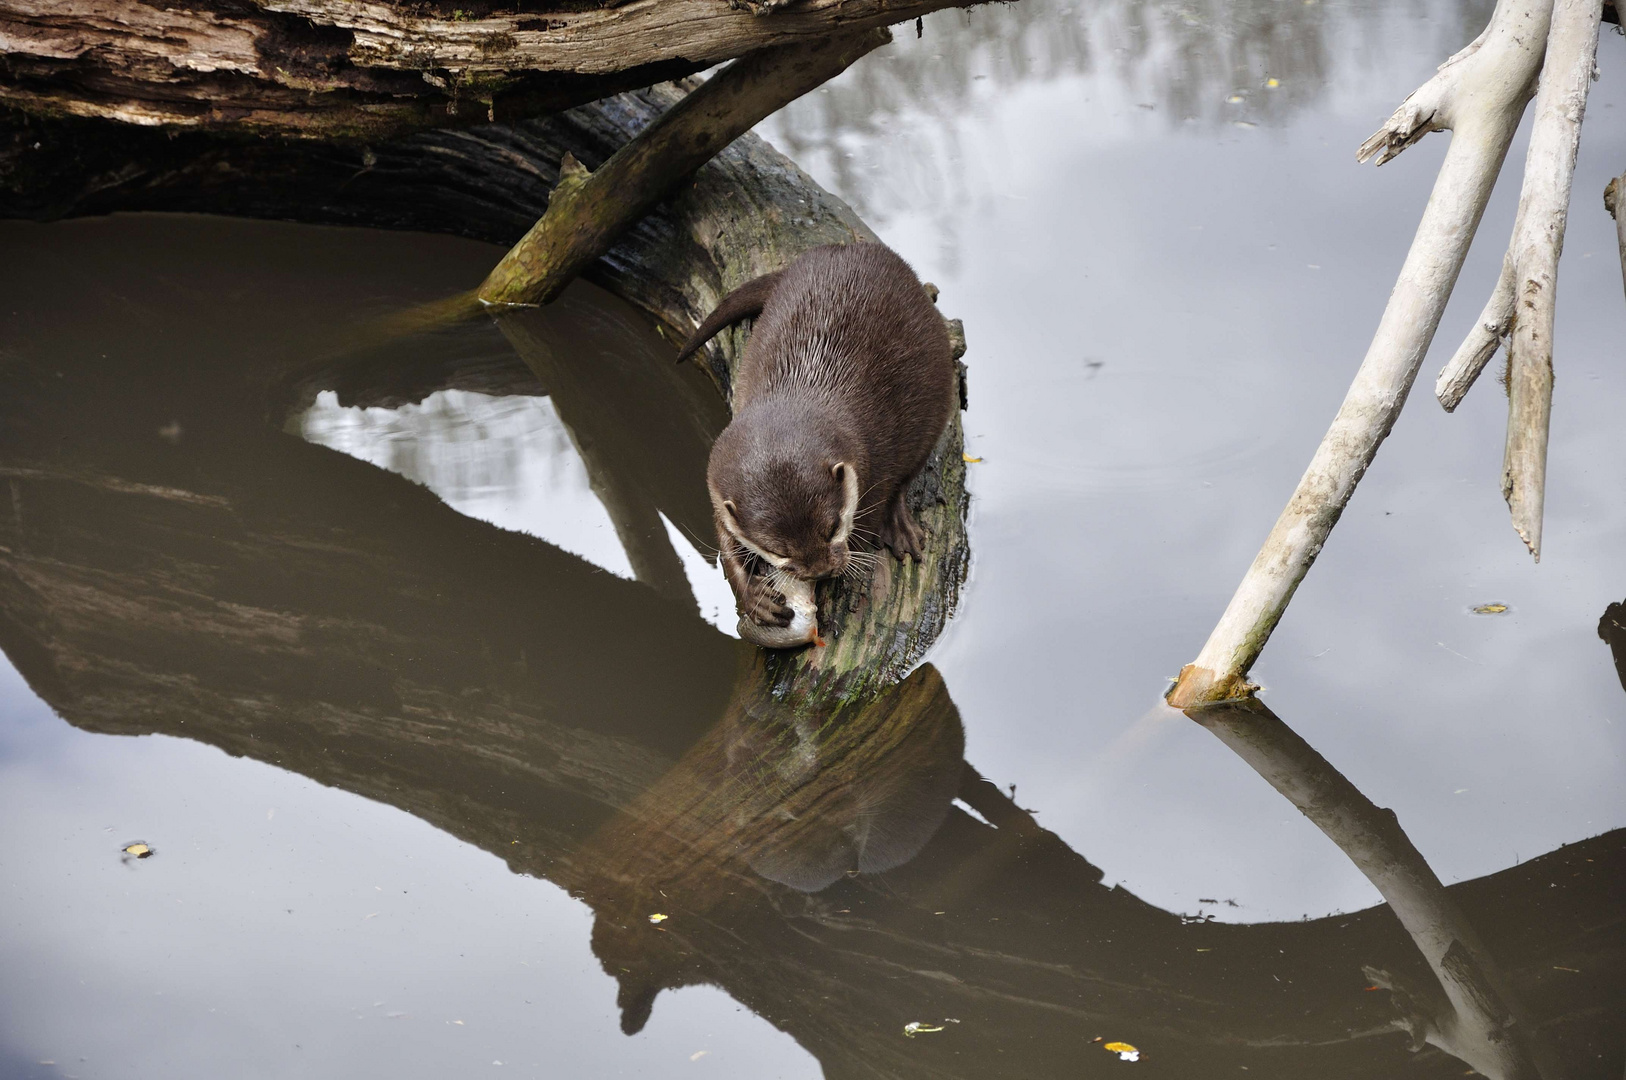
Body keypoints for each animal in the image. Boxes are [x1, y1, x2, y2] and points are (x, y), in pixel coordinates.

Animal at [673, 240, 949, 637]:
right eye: (779, 550)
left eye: (832, 526)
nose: (820, 570)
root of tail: (841, 247)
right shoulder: (716, 485)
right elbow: (725, 542)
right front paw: (754, 597)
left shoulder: (872, 465)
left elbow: (868, 515)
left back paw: (900, 527)